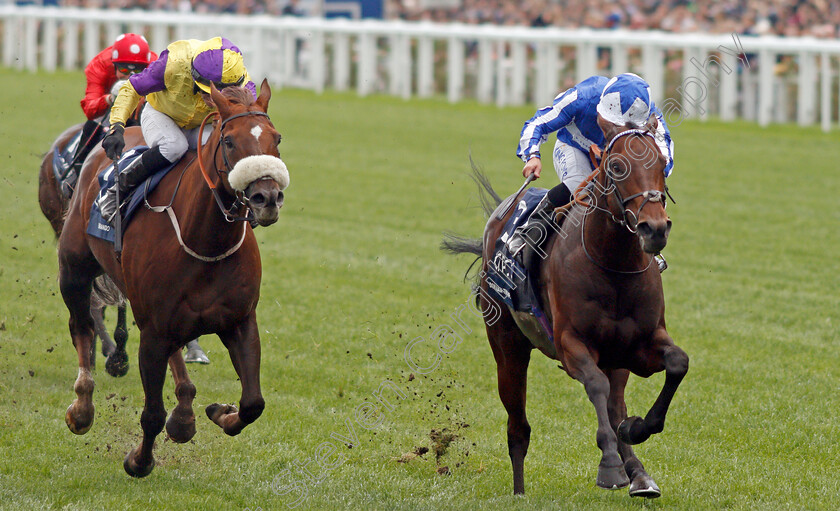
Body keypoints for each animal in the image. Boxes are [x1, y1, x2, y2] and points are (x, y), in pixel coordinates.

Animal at [56, 79, 288, 476]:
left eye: (277, 138)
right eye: (230, 141)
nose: (266, 197)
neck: (205, 240)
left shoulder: (240, 322)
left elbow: (253, 403)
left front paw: (219, 412)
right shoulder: (153, 333)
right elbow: (151, 413)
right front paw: (139, 460)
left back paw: (184, 414)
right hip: (74, 268)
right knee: (81, 327)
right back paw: (83, 407)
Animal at [442, 117, 684, 500]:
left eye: (662, 163)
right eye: (617, 167)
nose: (655, 229)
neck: (612, 265)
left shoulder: (640, 345)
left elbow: (676, 363)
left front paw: (636, 431)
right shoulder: (571, 344)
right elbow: (595, 386)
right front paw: (609, 466)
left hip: (616, 359)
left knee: (615, 406)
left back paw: (639, 473)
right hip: (507, 349)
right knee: (518, 426)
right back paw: (519, 492)